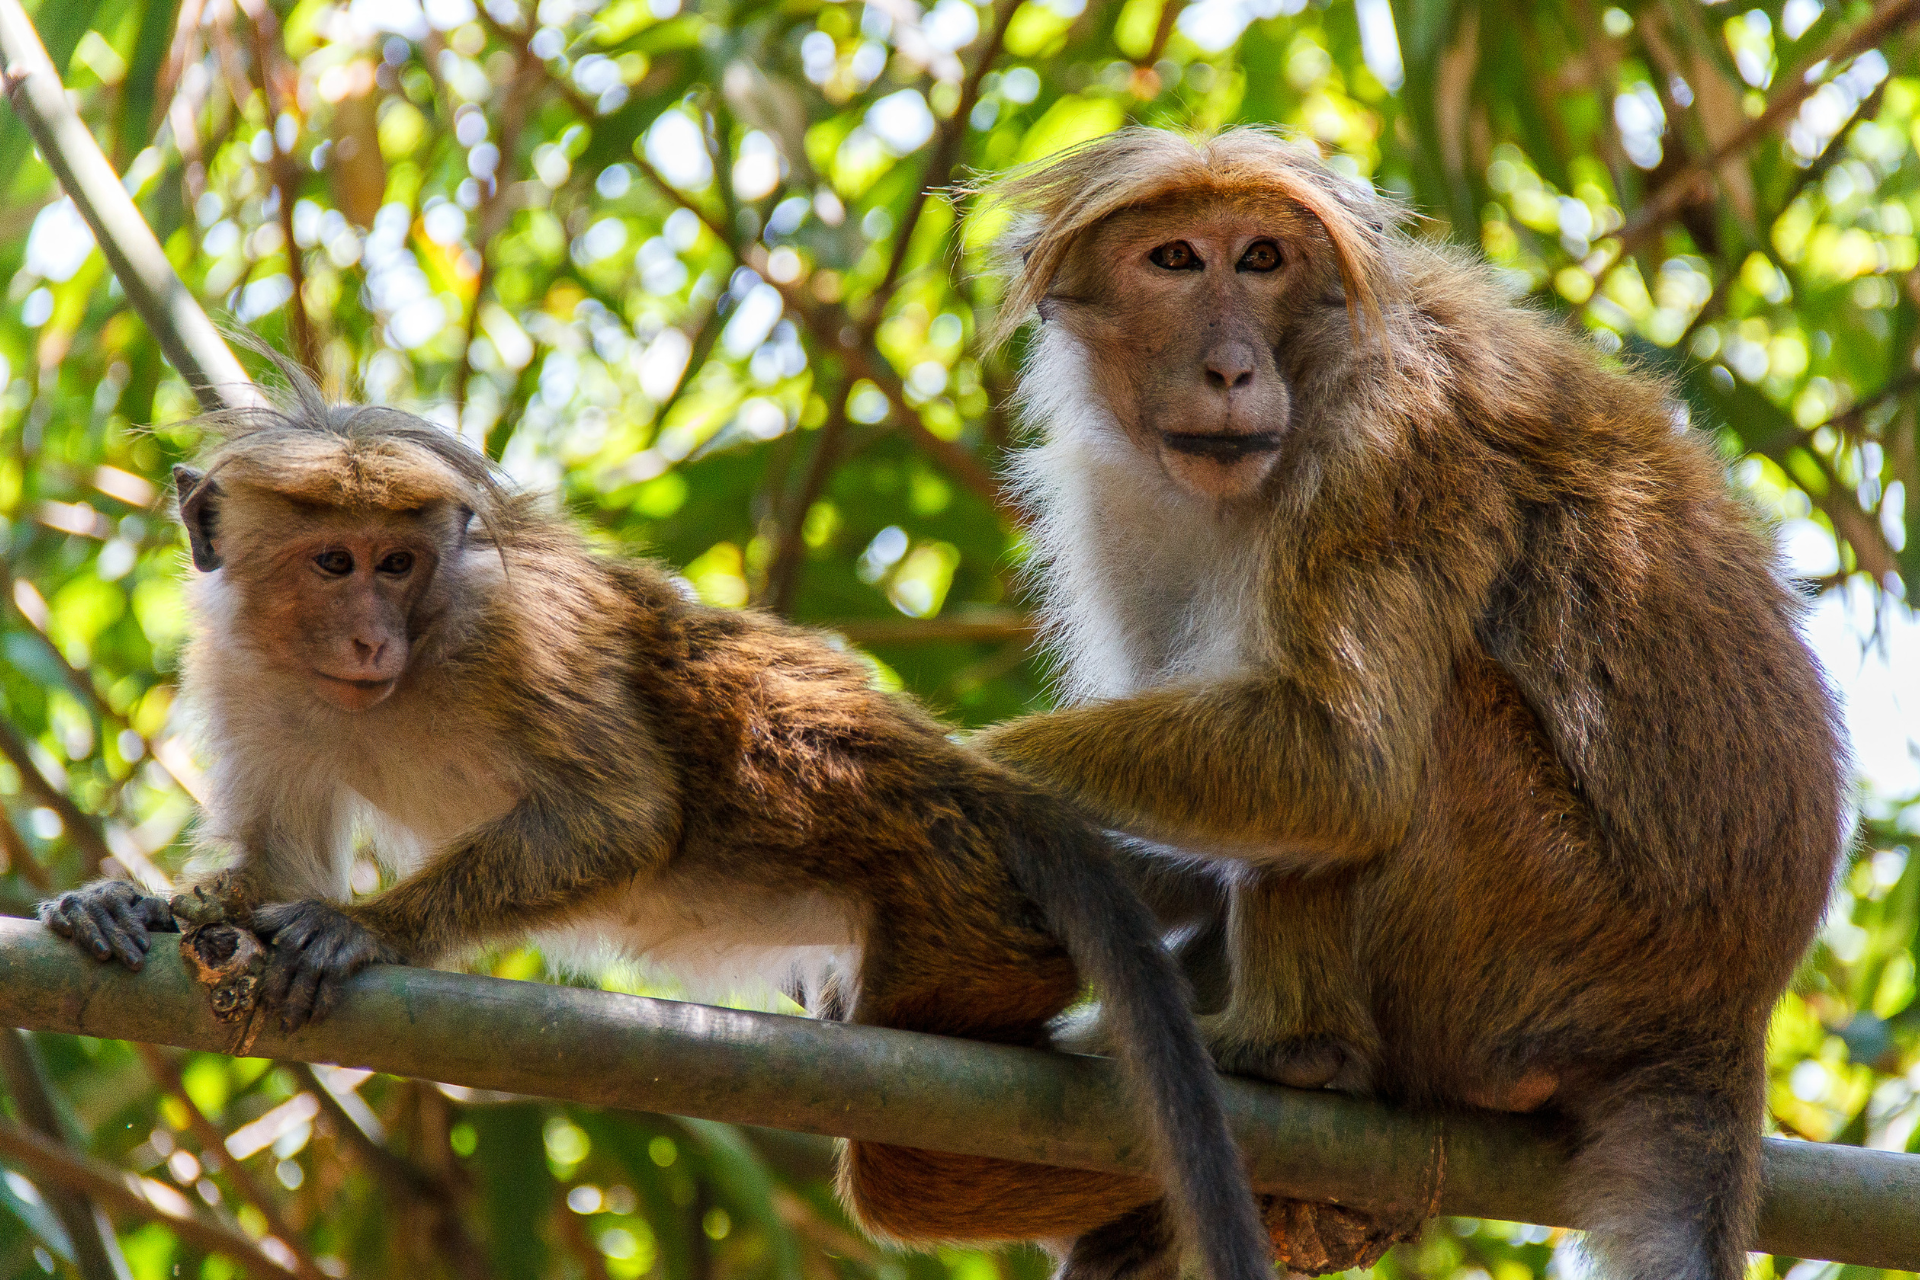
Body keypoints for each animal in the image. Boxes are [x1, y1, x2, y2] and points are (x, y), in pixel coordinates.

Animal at [33, 379, 1274, 1280]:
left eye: (399, 562)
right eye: (333, 561)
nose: (372, 635)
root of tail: (974, 786)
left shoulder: (504, 628)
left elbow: (626, 811)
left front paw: (367, 929)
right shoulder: (245, 668)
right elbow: (272, 858)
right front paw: (132, 903)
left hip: (954, 907)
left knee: (904, 1160)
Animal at [960, 127, 1858, 1280]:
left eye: (1260, 258)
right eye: (1174, 259)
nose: (1230, 367)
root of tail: (1726, 1014)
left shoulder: (1387, 442)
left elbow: (1344, 766)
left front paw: (964, 764)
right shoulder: (1115, 505)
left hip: (1551, 929)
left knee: (1417, 735)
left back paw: (1294, 1050)